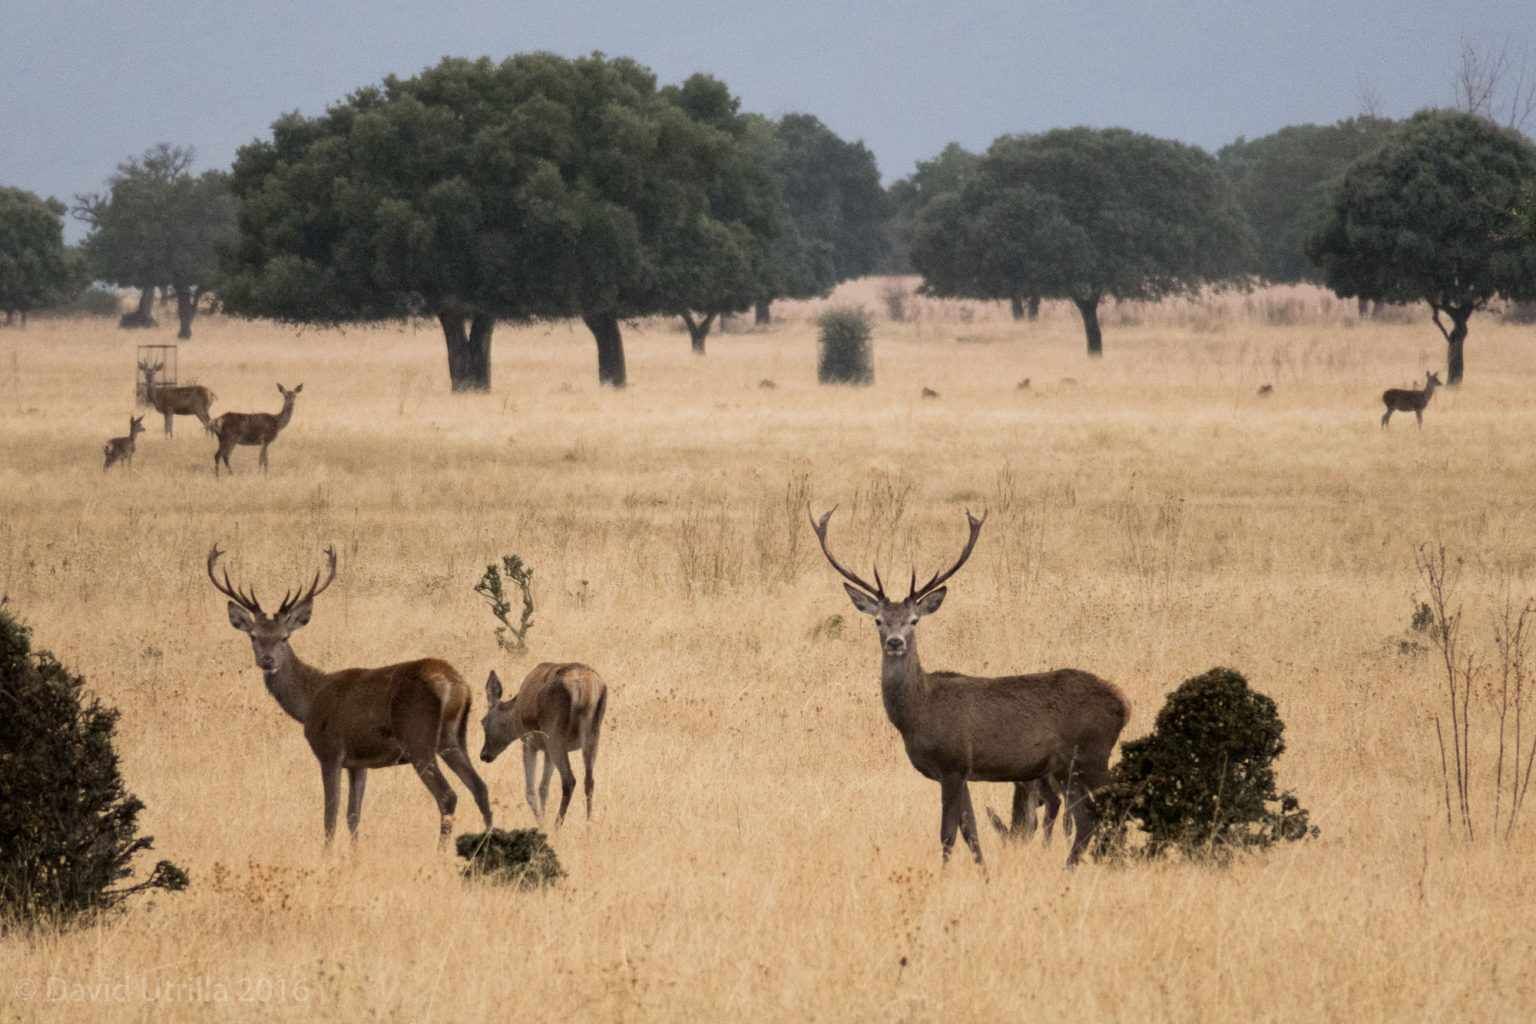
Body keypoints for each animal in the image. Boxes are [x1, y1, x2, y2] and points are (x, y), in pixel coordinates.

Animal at [207, 544, 492, 847]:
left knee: (448, 795)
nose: (267, 660)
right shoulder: (358, 764)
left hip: (418, 737)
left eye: (284, 637)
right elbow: (353, 816)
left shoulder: (330, 751)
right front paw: (355, 854)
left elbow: (330, 816)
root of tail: (454, 684)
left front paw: (327, 855)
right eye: (253, 636)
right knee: (480, 787)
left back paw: (440, 852)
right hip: (453, 737)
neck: (309, 702)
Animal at [480, 663, 608, 826]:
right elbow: (543, 788)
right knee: (589, 781)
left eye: (483, 722)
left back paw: (557, 825)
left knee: (569, 780)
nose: (484, 755)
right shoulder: (547, 751)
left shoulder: (529, 742)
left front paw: (541, 824)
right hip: (592, 734)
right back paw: (588, 823)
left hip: (554, 735)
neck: (514, 716)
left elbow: (530, 790)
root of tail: (583, 688)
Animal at [811, 508, 1131, 867]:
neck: (917, 714)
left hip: (1092, 753)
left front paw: (944, 872)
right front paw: (983, 871)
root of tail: (1123, 704)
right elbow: (971, 830)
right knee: (1087, 818)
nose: (895, 642)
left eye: (914, 620)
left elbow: (948, 833)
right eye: (878, 620)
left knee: (1108, 813)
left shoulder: (952, 762)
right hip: (1067, 768)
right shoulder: (960, 771)